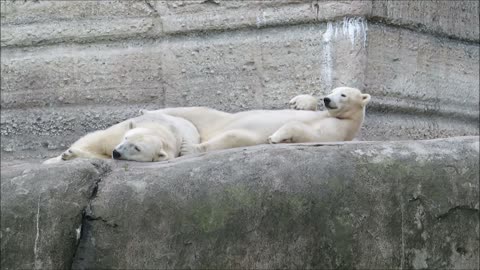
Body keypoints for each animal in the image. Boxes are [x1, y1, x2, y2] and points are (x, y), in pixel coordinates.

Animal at [41, 112, 199, 165]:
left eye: (137, 148)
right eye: (126, 137)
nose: (116, 152)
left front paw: (70, 155)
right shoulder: (117, 133)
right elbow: (95, 140)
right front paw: (57, 158)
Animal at [142, 86, 372, 154]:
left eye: (343, 94)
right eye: (332, 91)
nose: (327, 99)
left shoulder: (337, 130)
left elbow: (307, 132)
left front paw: (275, 137)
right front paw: (298, 102)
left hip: (242, 134)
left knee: (233, 137)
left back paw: (191, 148)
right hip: (217, 118)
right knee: (196, 111)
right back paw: (147, 110)